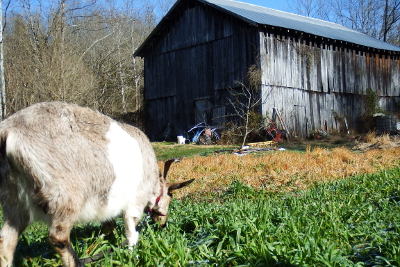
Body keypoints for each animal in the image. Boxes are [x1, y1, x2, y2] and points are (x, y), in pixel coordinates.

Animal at [0, 101, 194, 266]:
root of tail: (9, 132)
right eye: (169, 196)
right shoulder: (135, 203)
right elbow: (131, 232)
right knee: (58, 237)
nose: (162, 223)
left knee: (6, 240)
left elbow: (109, 227)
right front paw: (133, 255)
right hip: (64, 196)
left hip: (13, 199)